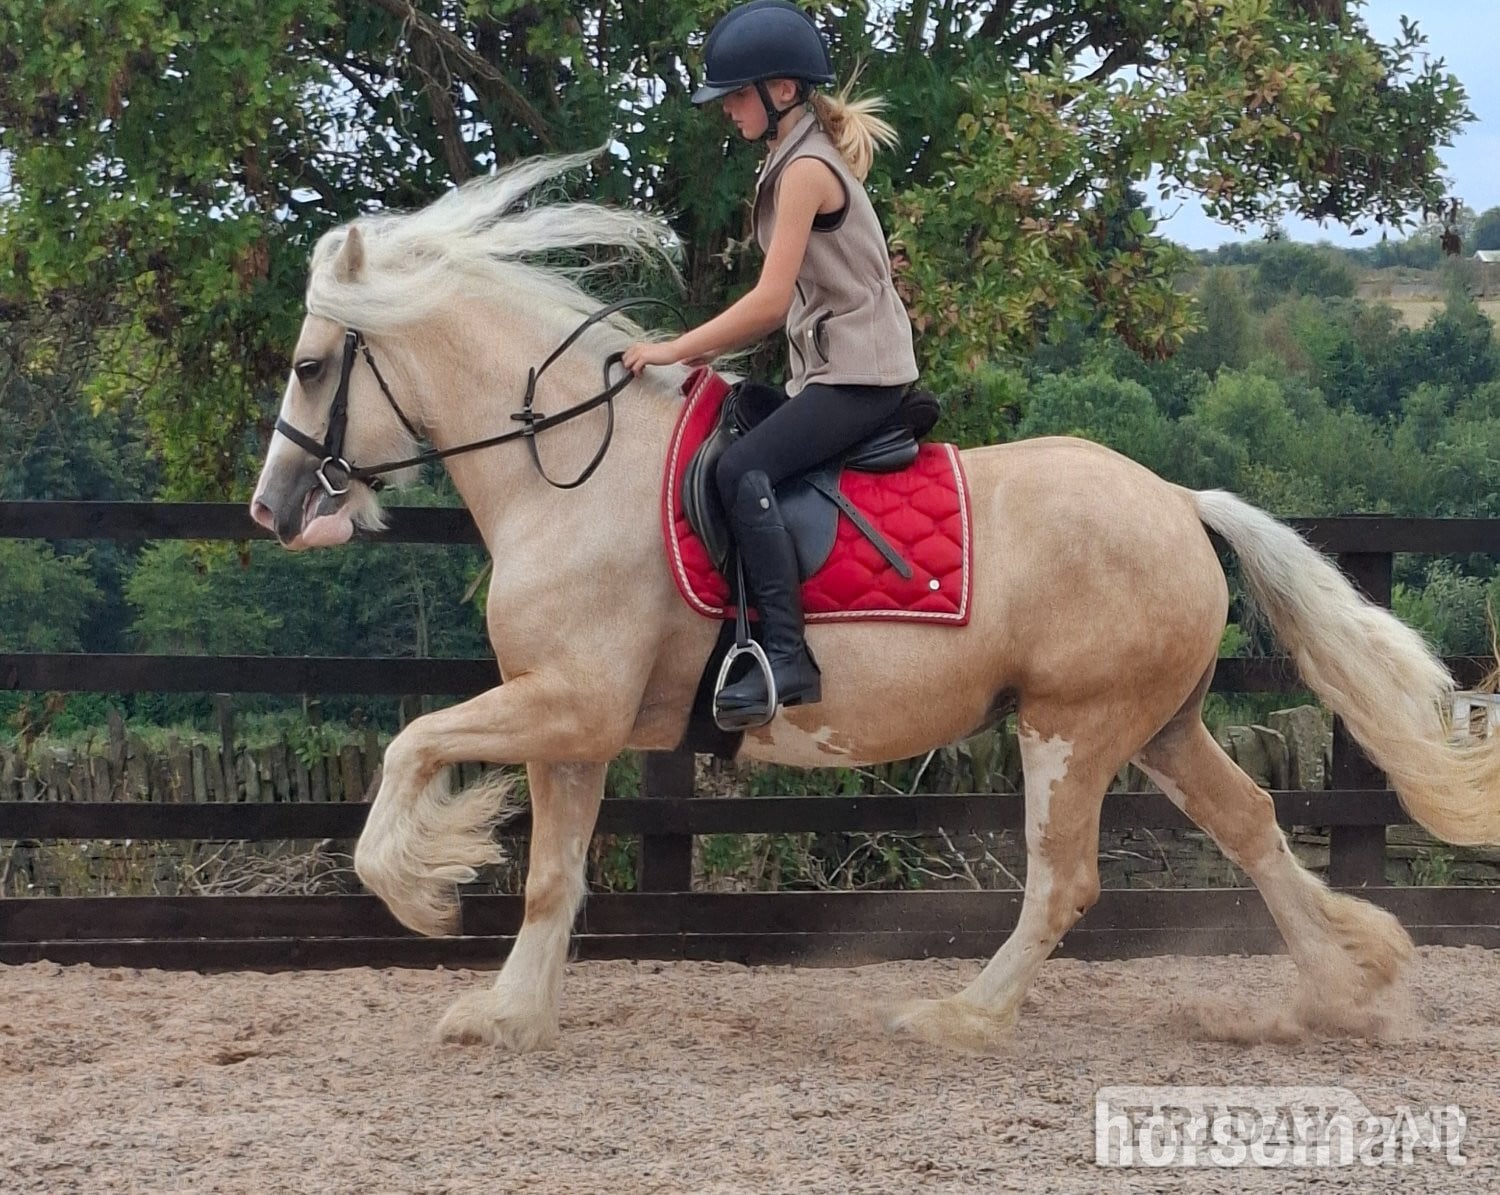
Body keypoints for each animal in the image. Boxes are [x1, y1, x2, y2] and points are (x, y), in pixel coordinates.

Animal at [250, 149, 1500, 1053]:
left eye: (311, 367)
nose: (271, 508)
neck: (572, 473)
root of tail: (1179, 501)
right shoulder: (574, 727)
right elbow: (553, 876)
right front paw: (507, 1011)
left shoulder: (570, 704)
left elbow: (412, 744)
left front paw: (423, 890)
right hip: (1158, 728)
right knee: (1250, 822)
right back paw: (1346, 983)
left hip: (1073, 728)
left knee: (1066, 880)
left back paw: (964, 1015)